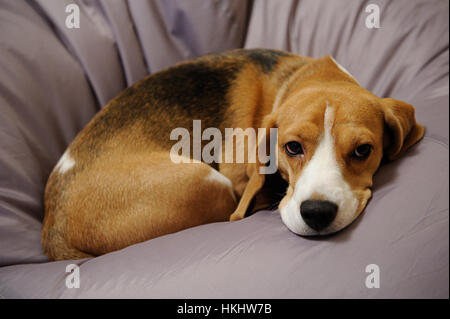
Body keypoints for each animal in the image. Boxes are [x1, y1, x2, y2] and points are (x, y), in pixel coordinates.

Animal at [40, 48, 424, 262]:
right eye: (292, 147)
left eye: (363, 151)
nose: (317, 213)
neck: (308, 75)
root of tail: (52, 221)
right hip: (206, 183)